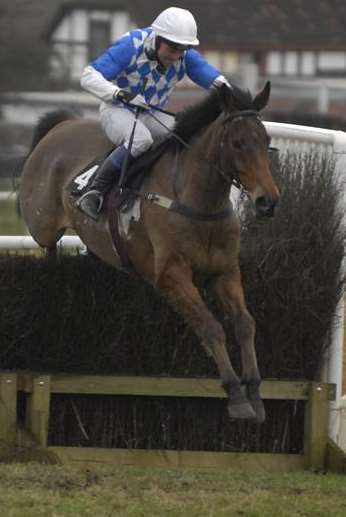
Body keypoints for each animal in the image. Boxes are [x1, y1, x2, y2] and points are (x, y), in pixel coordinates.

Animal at [18, 81, 280, 420]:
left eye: (266, 140)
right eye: (236, 143)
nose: (267, 201)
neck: (196, 201)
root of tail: (63, 124)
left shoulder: (224, 271)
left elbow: (245, 324)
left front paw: (255, 394)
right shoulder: (171, 276)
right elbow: (211, 327)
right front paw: (236, 395)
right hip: (43, 224)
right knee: (48, 247)